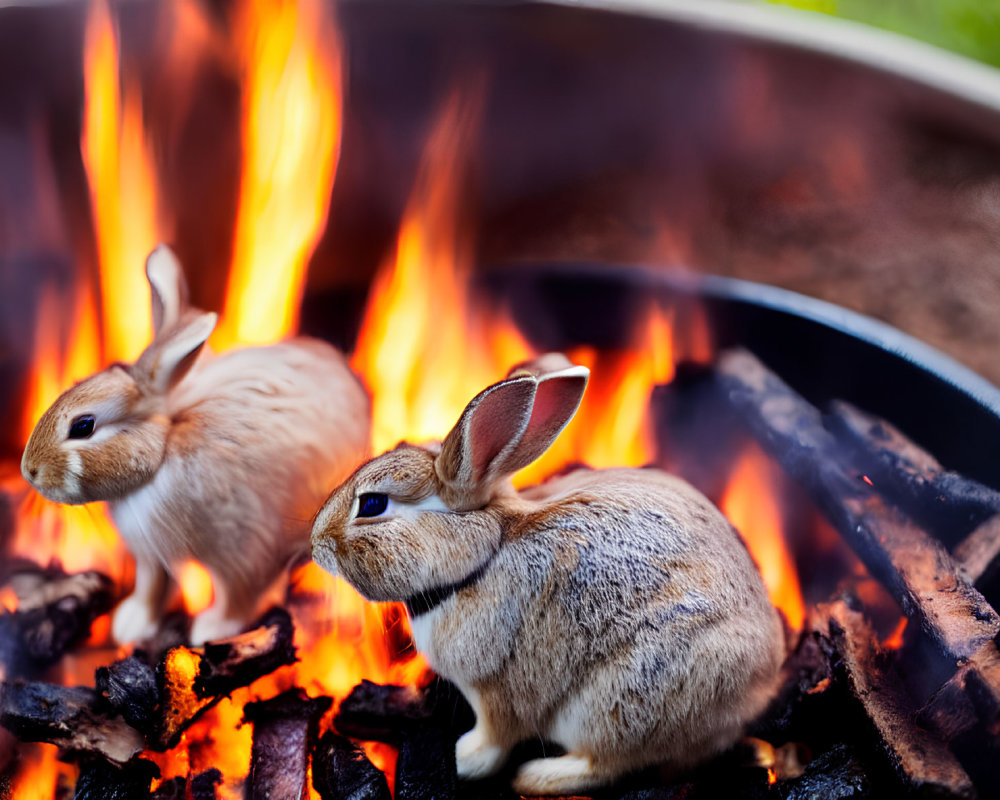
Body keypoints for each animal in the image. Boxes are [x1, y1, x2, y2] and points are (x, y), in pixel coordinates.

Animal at [21, 244, 374, 644]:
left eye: (83, 426)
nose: (29, 471)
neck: (159, 460)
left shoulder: (241, 551)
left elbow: (236, 597)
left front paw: (210, 630)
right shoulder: (152, 557)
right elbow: (151, 589)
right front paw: (131, 625)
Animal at [312, 354, 788, 792]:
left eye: (373, 505)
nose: (316, 545)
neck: (482, 556)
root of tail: (757, 691)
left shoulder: (498, 691)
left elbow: (496, 738)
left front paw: (465, 759)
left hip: (618, 702)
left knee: (607, 764)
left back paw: (537, 776)